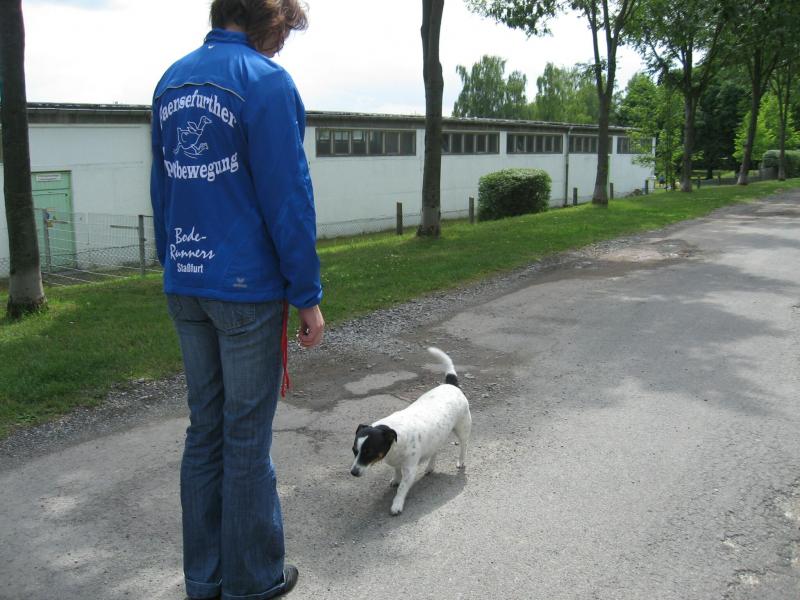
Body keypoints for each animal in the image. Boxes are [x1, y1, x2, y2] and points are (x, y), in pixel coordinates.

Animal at [350, 347, 472, 515]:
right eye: (354, 450)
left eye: (369, 452)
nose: (353, 472)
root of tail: (451, 384)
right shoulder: (396, 462)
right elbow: (396, 472)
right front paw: (395, 479)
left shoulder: (409, 470)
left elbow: (402, 488)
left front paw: (397, 504)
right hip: (436, 437)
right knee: (435, 450)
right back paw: (430, 467)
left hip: (462, 428)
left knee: (464, 445)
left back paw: (461, 461)